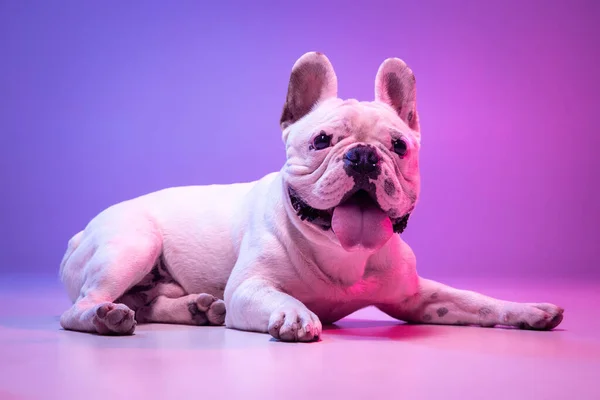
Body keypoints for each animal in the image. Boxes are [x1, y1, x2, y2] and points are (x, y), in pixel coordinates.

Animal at [58, 52, 564, 340]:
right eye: (322, 141)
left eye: (398, 146)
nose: (363, 156)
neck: (341, 252)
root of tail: (80, 234)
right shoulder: (250, 289)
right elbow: (277, 297)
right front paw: (293, 314)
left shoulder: (417, 298)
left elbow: (476, 300)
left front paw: (529, 311)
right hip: (133, 244)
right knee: (78, 309)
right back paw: (105, 317)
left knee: (148, 304)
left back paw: (198, 308)